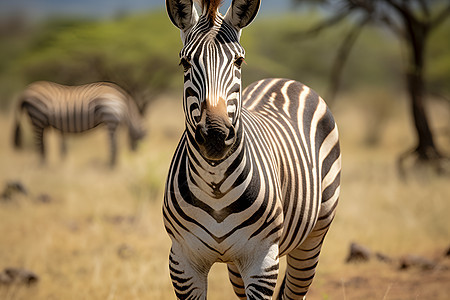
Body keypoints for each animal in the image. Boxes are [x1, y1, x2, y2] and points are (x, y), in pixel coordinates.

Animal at [13, 81, 145, 168]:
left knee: (42, 144)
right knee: (39, 144)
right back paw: (42, 165)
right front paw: (112, 165)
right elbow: (114, 144)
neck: (125, 109)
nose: (135, 156)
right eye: (140, 138)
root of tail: (26, 91)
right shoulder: (111, 120)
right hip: (37, 118)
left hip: (39, 120)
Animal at [163, 1, 342, 298]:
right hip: (236, 264)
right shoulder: (183, 261)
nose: (215, 136)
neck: (215, 185)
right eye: (185, 62)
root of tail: (283, 80)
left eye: (238, 61)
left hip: (313, 237)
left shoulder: (262, 261)